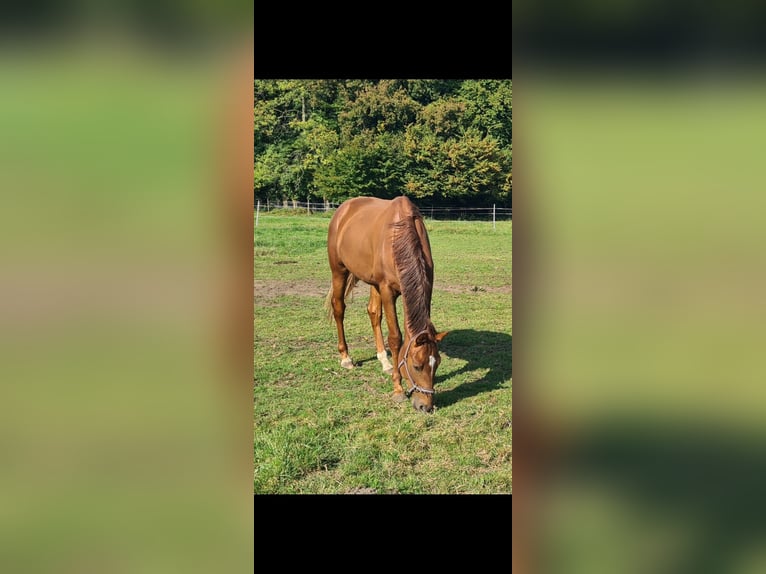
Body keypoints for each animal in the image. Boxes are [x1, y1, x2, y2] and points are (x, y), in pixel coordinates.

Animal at [325, 195, 448, 413]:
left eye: (437, 364)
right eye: (416, 366)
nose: (425, 406)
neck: (399, 238)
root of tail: (343, 209)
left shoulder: (425, 285)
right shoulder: (387, 291)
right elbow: (396, 337)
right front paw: (398, 389)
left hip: (373, 282)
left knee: (373, 313)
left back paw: (384, 361)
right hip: (339, 270)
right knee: (338, 308)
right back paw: (346, 358)